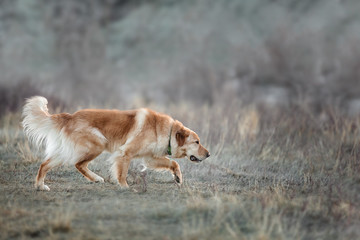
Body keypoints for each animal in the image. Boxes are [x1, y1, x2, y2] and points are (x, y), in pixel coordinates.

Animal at [22, 95, 210, 191]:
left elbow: (173, 163)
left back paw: (40, 186)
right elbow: (122, 173)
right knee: (78, 164)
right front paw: (124, 186)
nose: (208, 154)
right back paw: (95, 178)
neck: (167, 130)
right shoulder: (125, 153)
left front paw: (178, 177)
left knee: (45, 164)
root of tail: (70, 116)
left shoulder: (150, 158)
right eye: (197, 142)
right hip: (97, 144)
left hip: (69, 151)